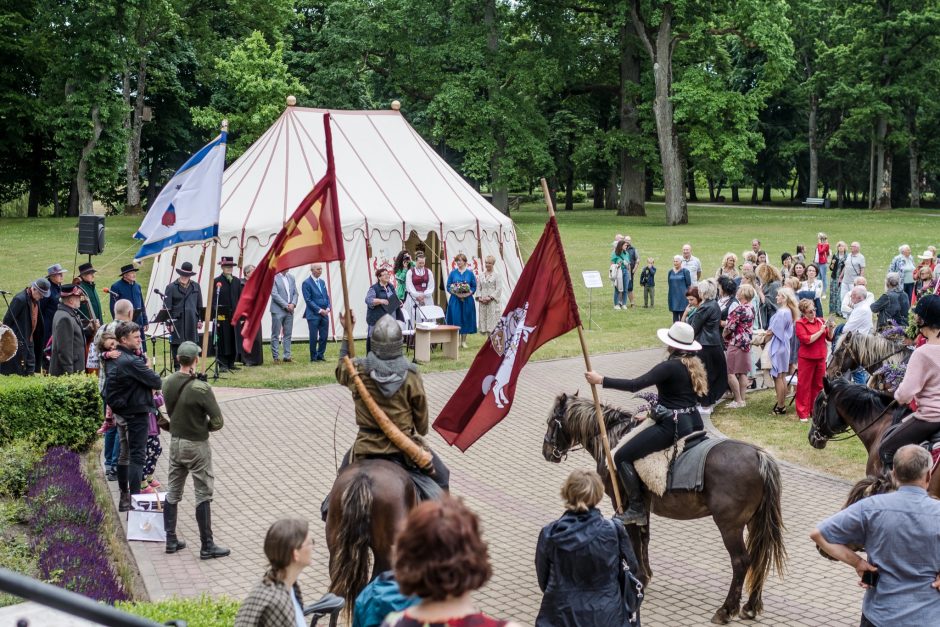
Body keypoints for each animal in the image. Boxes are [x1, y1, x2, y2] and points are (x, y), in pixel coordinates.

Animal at [544, 392, 784, 624]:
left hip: (730, 526)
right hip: (755, 521)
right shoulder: (642, 508)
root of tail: (759, 455)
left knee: (741, 562)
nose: (547, 452)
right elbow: (644, 538)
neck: (612, 438)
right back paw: (750, 607)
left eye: (551, 421)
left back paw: (726, 610)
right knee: (760, 558)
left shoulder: (625, 505)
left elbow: (634, 539)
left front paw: (638, 578)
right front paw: (646, 576)